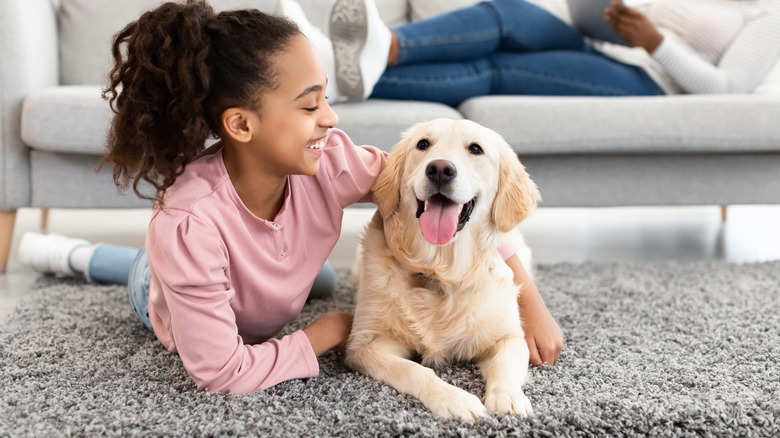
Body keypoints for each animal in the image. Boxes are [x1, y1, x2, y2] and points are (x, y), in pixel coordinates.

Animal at [348, 119, 544, 420]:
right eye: (423, 144)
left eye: (475, 149)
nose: (440, 169)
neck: (440, 271)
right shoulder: (366, 345)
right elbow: (413, 369)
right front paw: (455, 399)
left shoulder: (508, 336)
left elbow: (505, 364)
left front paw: (508, 398)